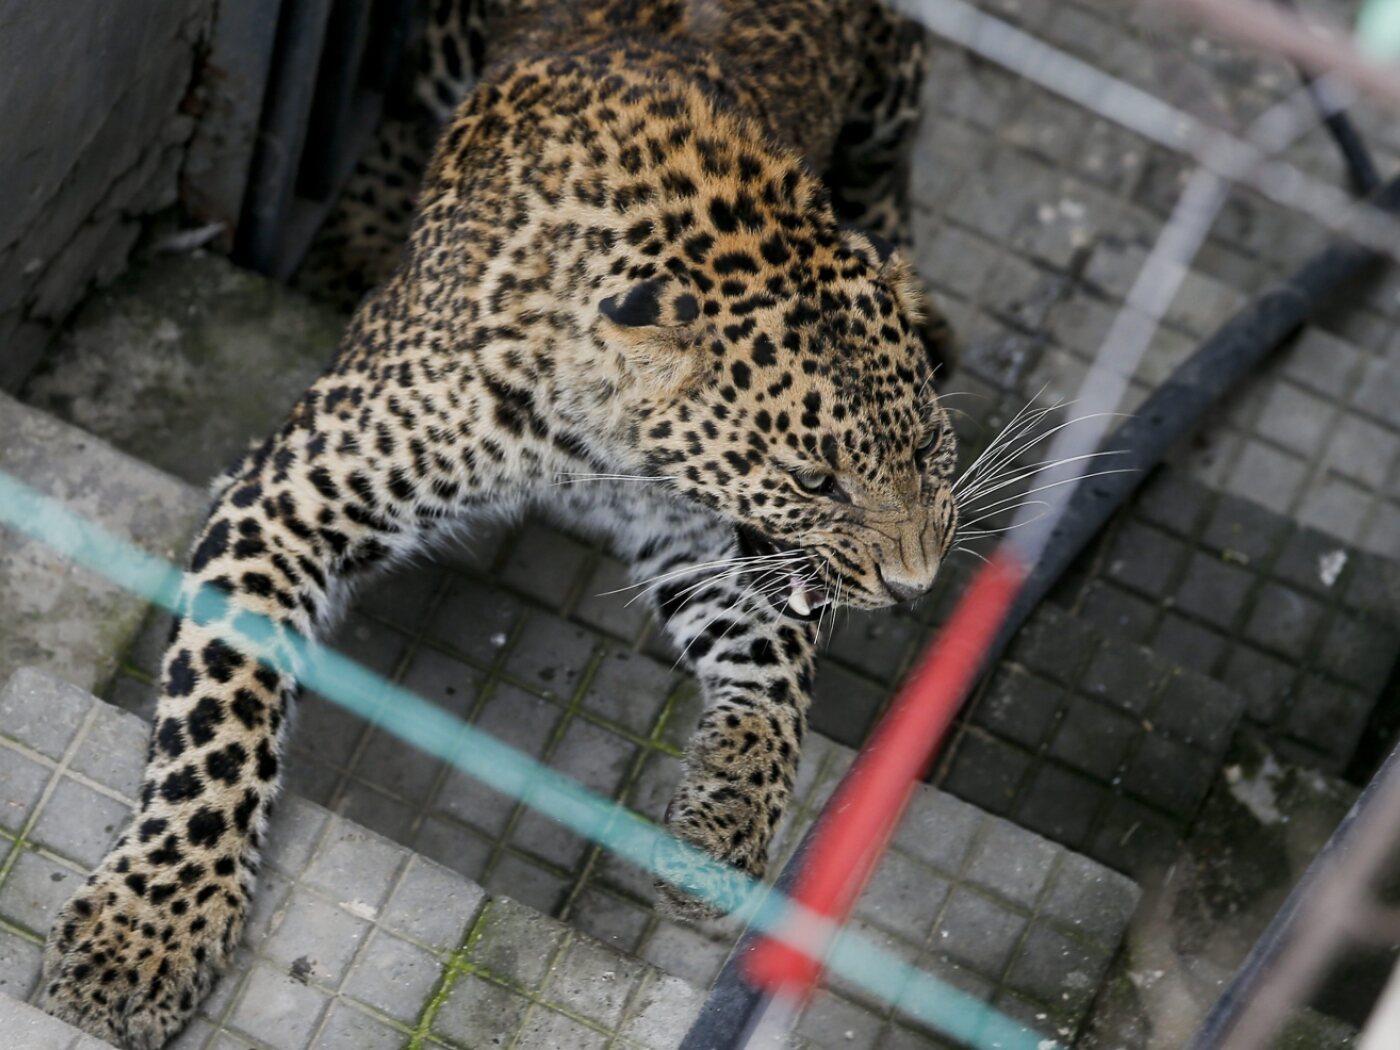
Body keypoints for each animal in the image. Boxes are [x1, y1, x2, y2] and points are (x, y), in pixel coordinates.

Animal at [41, 1, 960, 1046]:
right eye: (815, 479)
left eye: (930, 446)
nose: (916, 586)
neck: (597, 438)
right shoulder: (288, 498)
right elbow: (219, 724)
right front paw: (148, 932)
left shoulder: (695, 532)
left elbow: (770, 663)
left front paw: (721, 823)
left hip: (893, 76)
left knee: (891, 168)